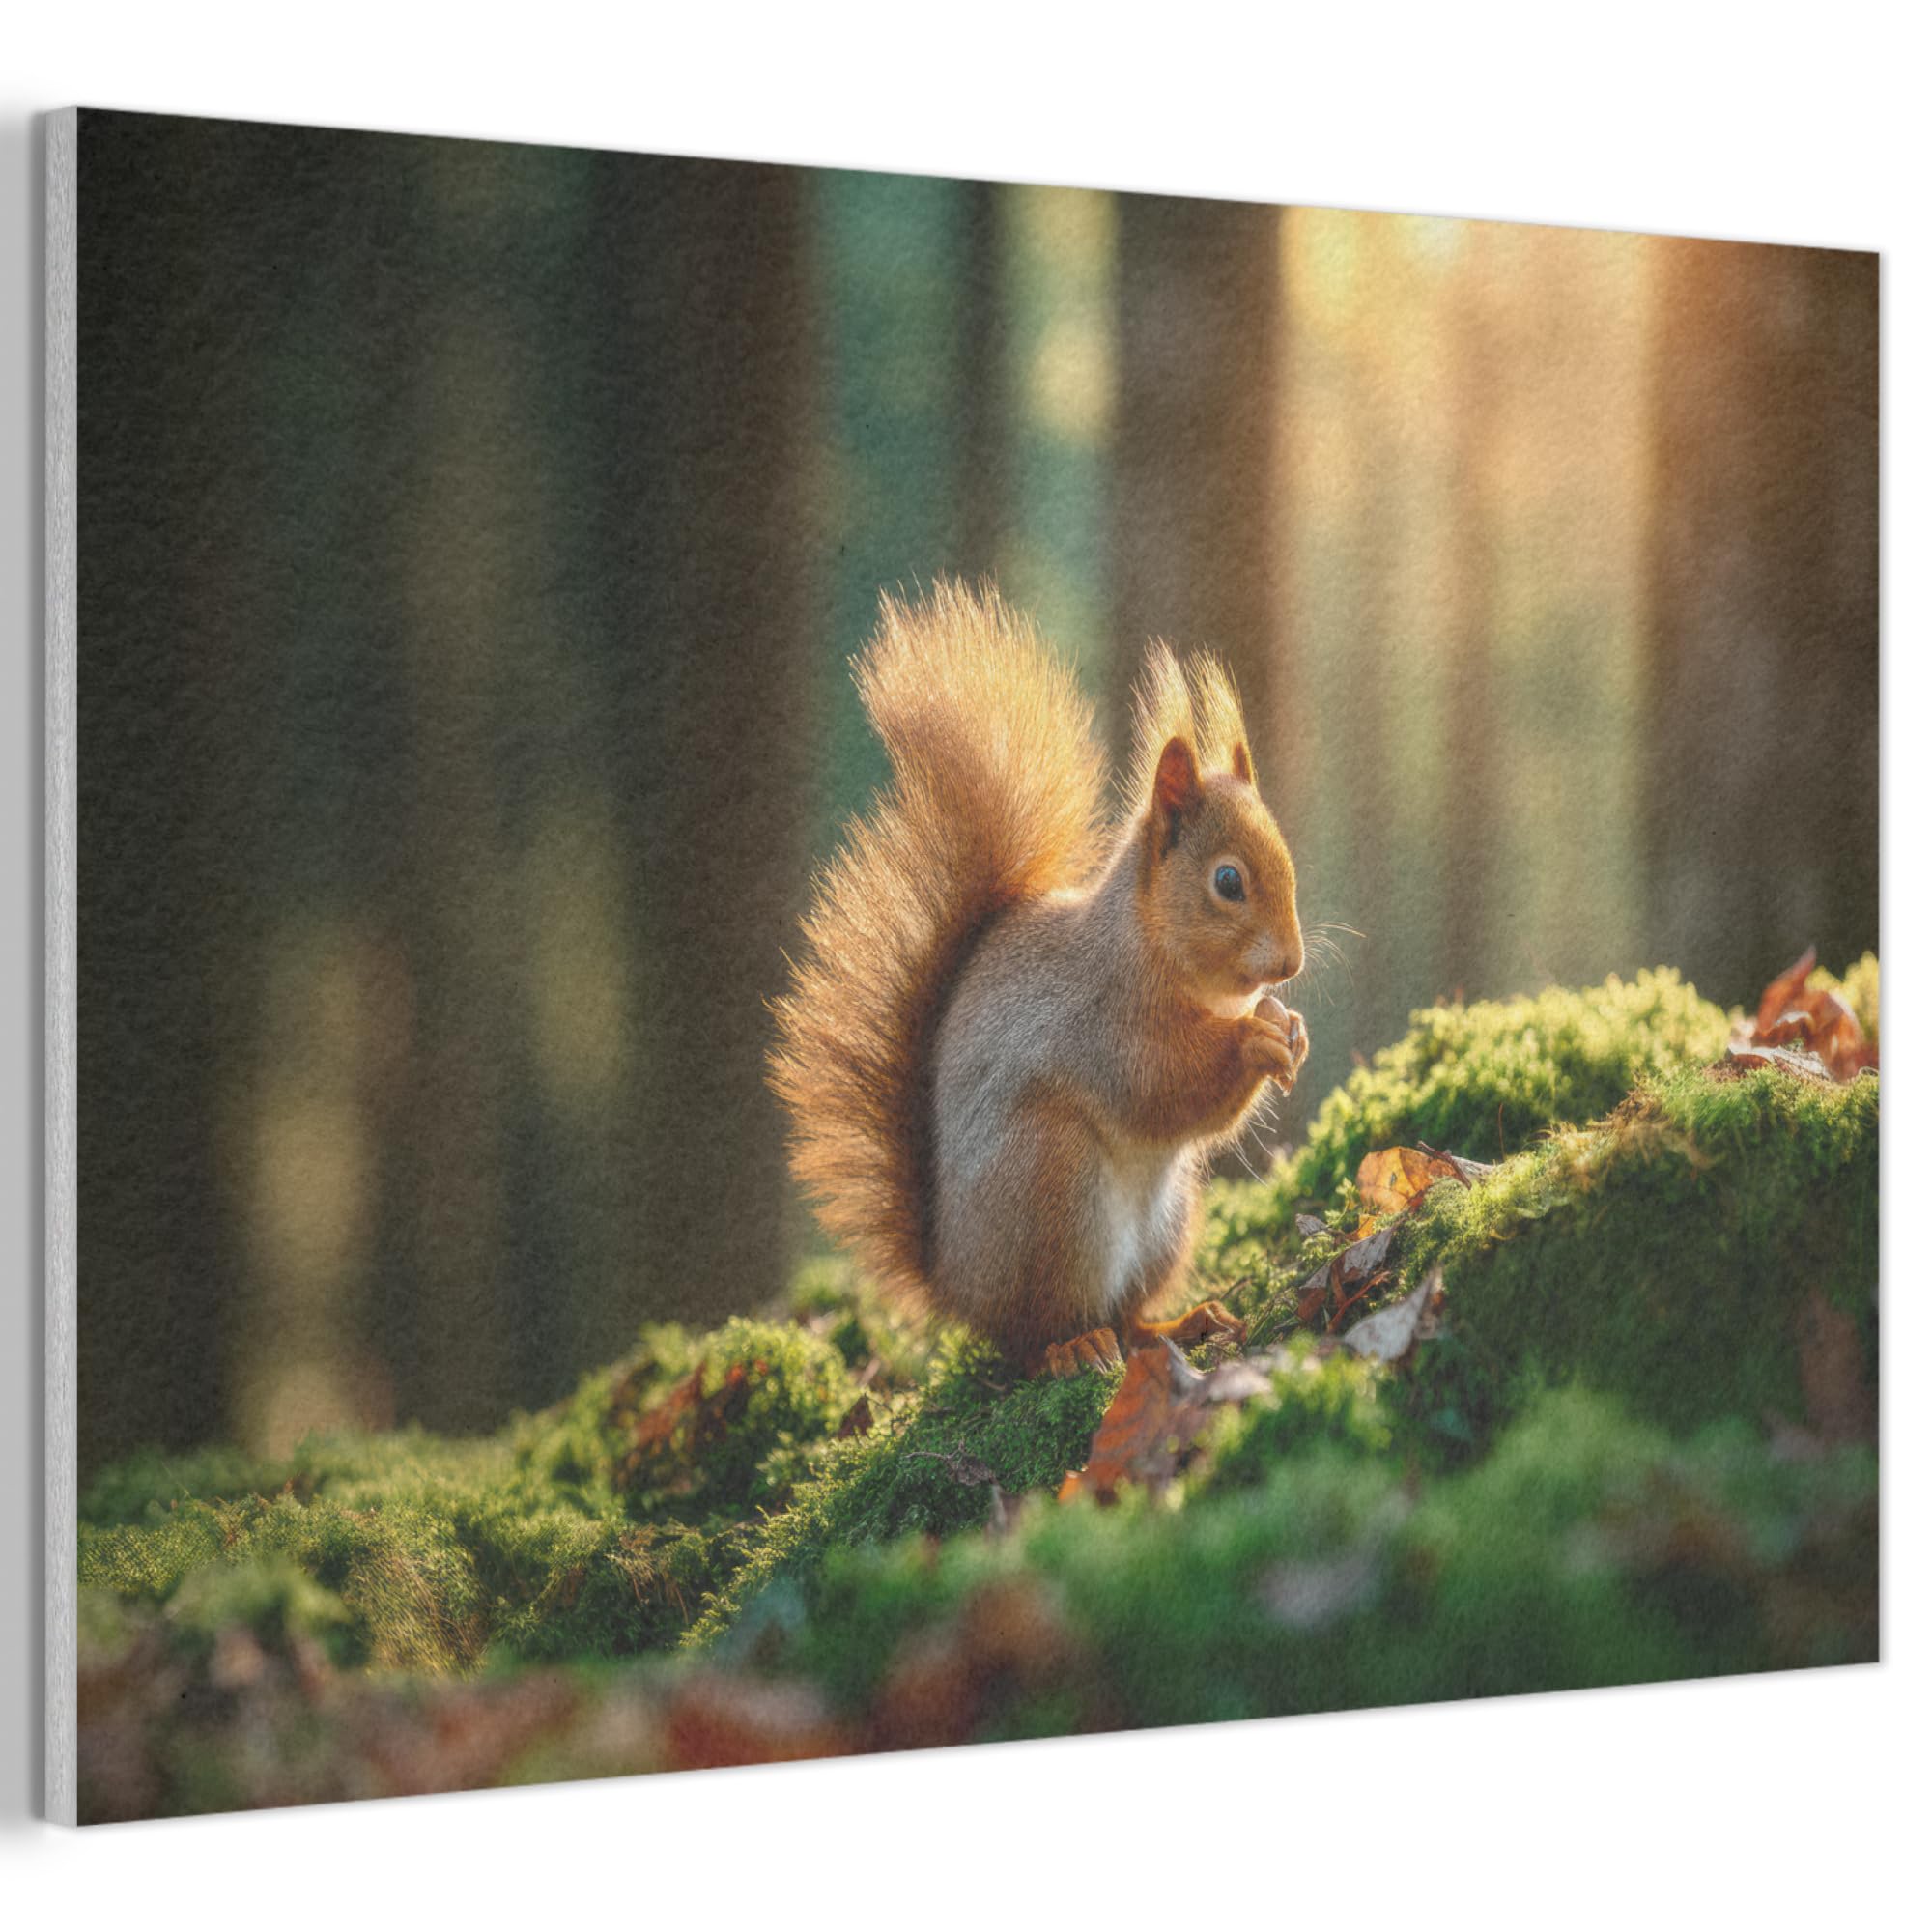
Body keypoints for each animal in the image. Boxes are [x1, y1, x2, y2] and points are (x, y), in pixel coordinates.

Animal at [770, 581, 1307, 1377]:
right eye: (1229, 881)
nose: (1293, 964)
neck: (1147, 948)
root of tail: (956, 1286)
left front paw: (1289, 1028)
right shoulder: (1101, 1021)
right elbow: (1163, 1087)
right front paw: (1255, 1042)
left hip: (1166, 1224)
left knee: (1127, 1318)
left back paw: (1179, 1324)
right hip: (1051, 1186)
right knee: (1035, 1335)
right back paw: (1072, 1347)